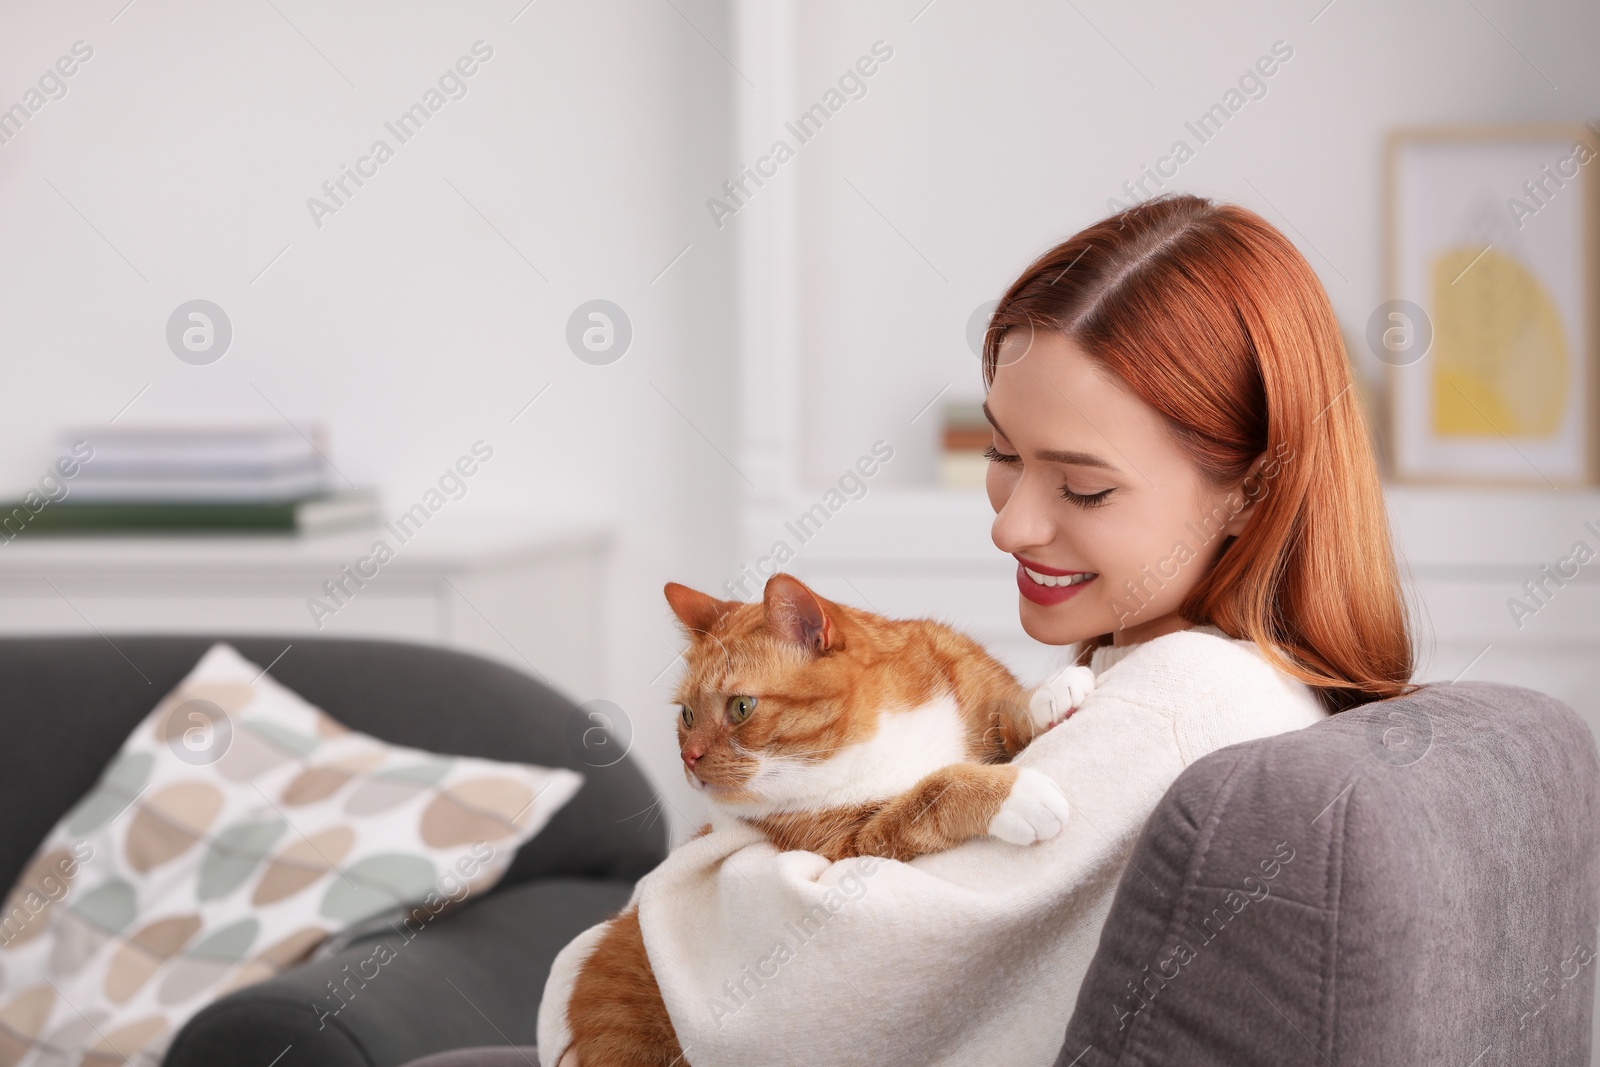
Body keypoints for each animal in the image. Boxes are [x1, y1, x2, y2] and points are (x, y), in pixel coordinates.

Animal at [556, 575, 1094, 1067]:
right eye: (687, 715)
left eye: (741, 707)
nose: (688, 758)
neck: (880, 732)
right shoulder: (853, 844)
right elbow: (934, 790)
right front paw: (1012, 793)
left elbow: (1005, 711)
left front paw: (1050, 693)